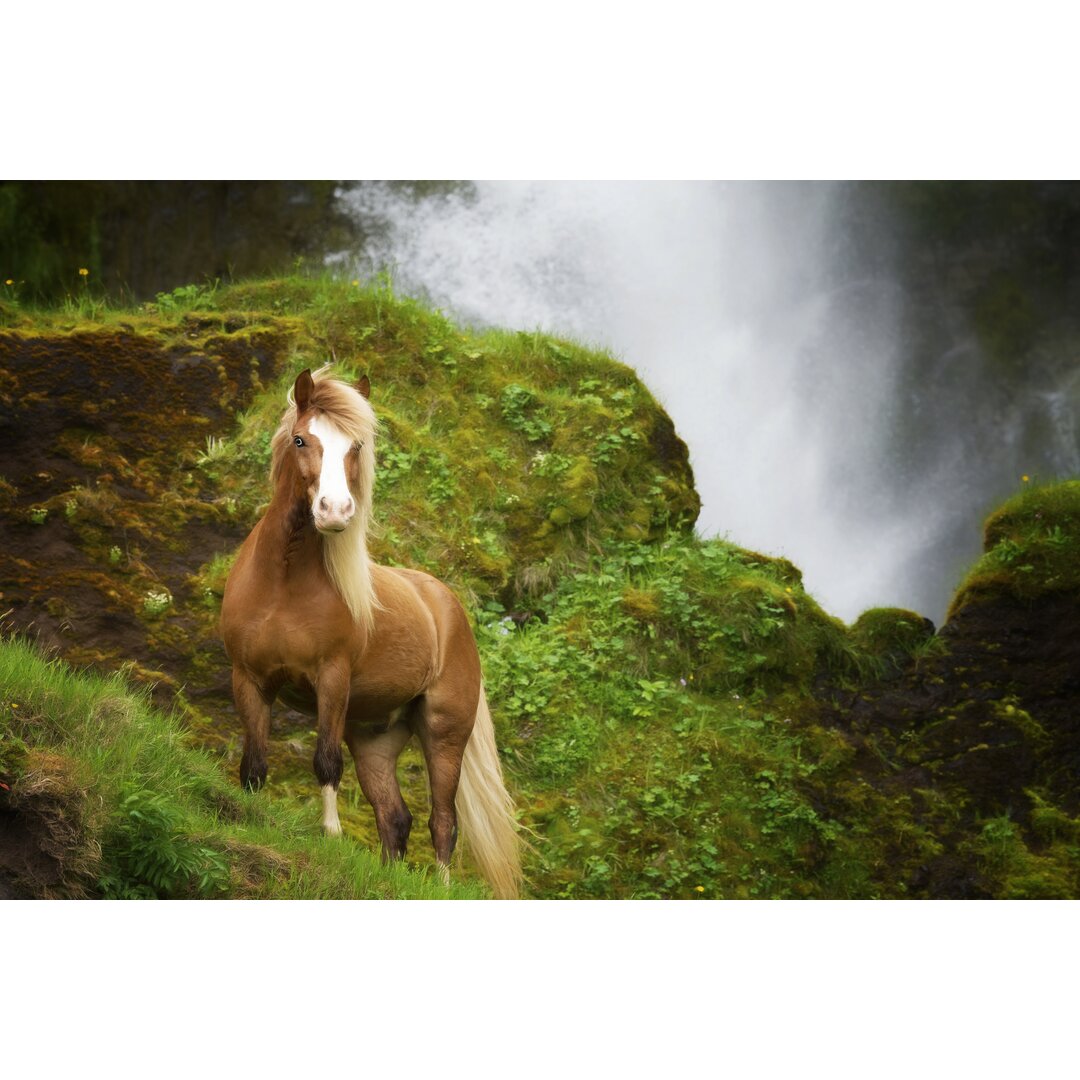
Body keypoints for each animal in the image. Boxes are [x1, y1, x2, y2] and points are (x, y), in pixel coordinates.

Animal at [219, 367, 522, 898]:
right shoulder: (249, 679)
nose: (335, 510)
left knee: (443, 822)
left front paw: (331, 835)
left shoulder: (331, 680)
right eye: (301, 439)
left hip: (444, 732)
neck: (281, 584)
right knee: (394, 818)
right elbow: (253, 764)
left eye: (356, 445)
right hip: (374, 738)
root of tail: (448, 607)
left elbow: (324, 761)